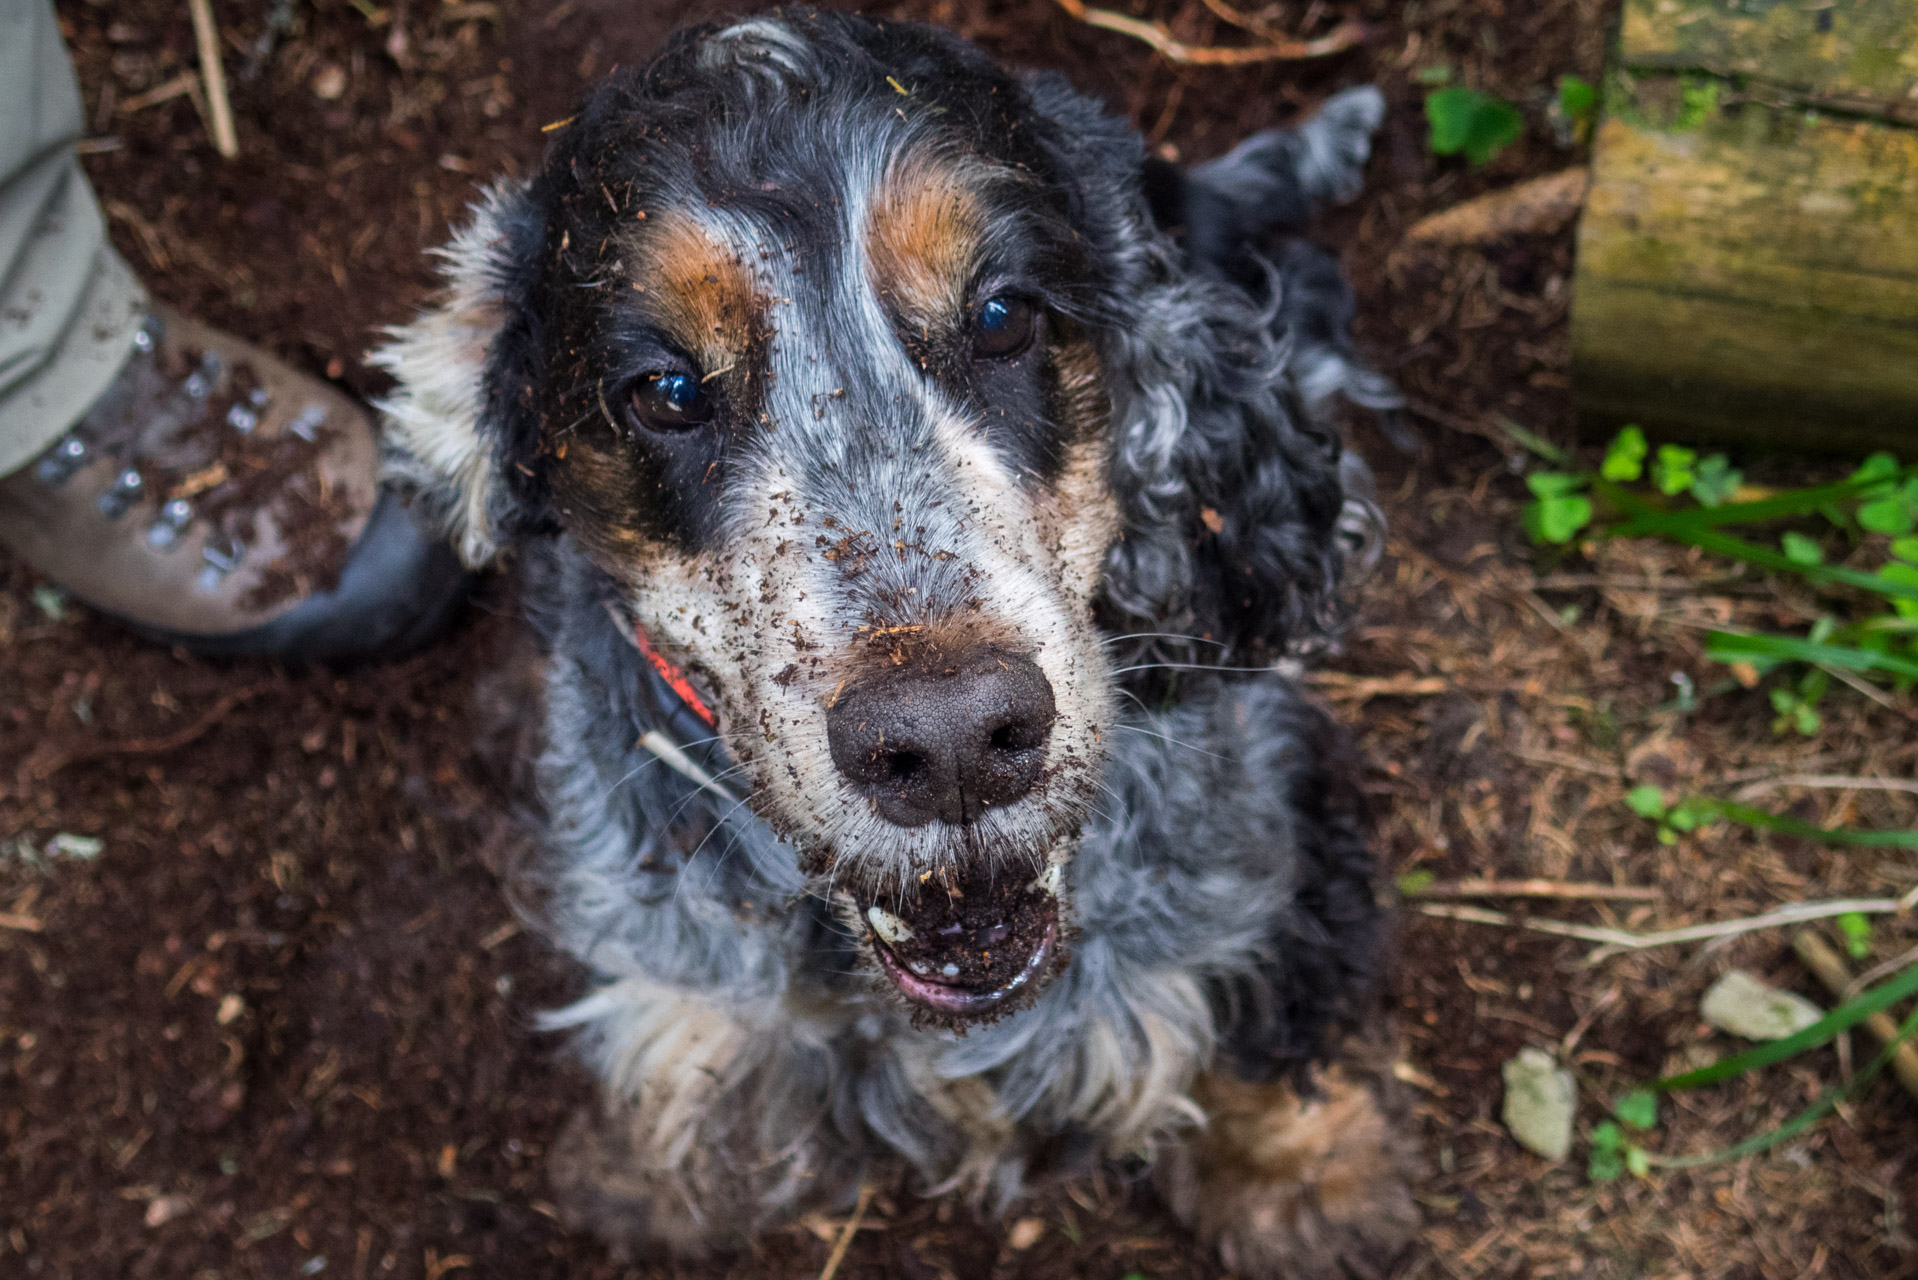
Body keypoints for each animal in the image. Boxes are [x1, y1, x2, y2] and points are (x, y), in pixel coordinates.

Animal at [377, 10, 1426, 1274]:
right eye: (665, 389)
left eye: (1004, 315)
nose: (953, 741)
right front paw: (642, 1181)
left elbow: (1258, 1007)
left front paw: (1309, 1180)